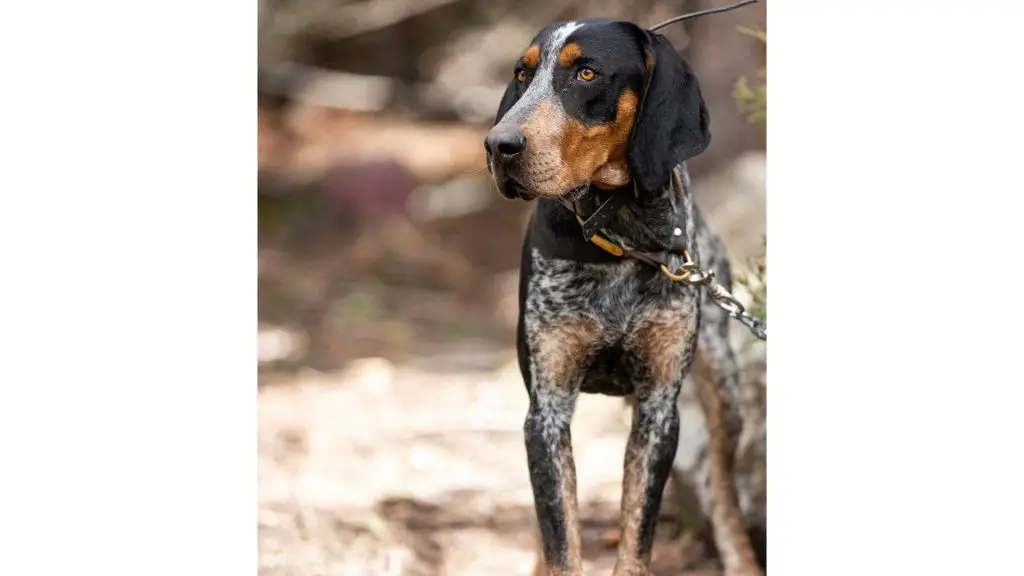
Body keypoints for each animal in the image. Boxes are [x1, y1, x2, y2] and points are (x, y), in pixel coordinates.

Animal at [487, 17, 770, 573]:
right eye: (522, 74)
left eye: (587, 73)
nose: (497, 144)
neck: (619, 236)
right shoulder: (547, 409)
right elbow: (560, 539)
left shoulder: (659, 409)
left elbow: (638, 533)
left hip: (725, 390)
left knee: (722, 488)